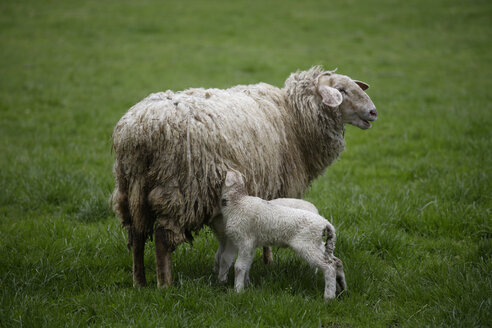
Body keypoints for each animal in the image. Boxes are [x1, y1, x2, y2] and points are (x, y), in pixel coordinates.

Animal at [112, 66, 376, 288]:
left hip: (131, 189)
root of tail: (139, 131)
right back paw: (164, 284)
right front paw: (269, 261)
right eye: (341, 90)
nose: (373, 112)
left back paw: (139, 282)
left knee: (136, 234)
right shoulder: (280, 185)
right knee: (162, 237)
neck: (293, 118)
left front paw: (266, 260)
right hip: (179, 189)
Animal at [215, 172, 346, 302]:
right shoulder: (246, 243)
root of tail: (325, 223)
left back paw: (328, 297)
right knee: (335, 261)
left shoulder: (245, 242)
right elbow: (240, 263)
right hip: (316, 243)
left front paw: (238, 291)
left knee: (329, 266)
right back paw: (341, 288)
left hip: (306, 244)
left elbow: (239, 266)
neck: (238, 201)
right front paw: (240, 284)